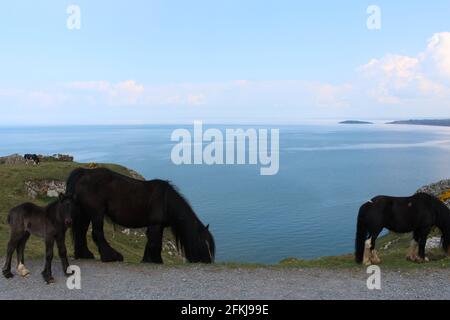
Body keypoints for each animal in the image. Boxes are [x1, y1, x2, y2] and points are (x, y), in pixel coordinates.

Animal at [65, 168, 216, 262]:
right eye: (204, 244)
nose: (208, 261)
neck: (166, 201)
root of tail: (84, 172)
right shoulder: (155, 225)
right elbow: (155, 243)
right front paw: (155, 261)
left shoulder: (157, 226)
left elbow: (151, 243)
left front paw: (148, 259)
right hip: (97, 213)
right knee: (97, 233)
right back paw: (111, 256)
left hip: (85, 213)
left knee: (81, 232)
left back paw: (85, 255)